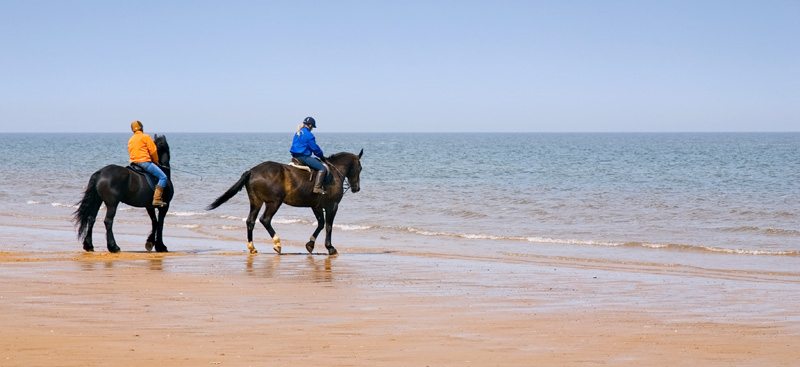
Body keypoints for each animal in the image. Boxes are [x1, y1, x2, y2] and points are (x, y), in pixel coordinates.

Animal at [209, 150, 366, 256]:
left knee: (250, 221)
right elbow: (328, 226)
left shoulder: (316, 206)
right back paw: (277, 244)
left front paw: (310, 244)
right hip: (274, 202)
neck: (334, 173)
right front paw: (330, 248)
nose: (356, 188)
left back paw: (252, 247)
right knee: (265, 219)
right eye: (360, 168)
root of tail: (252, 171)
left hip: (256, 201)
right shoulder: (332, 206)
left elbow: (321, 224)